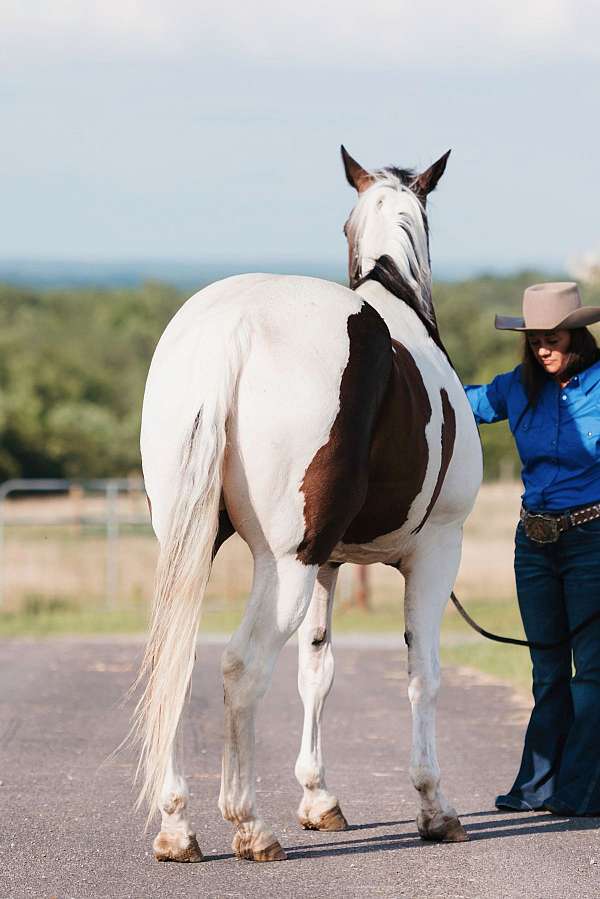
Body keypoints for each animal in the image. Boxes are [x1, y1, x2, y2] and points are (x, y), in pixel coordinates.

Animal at [135, 148, 482, 864]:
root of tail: (233, 329)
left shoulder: (329, 562)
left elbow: (316, 670)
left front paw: (320, 800)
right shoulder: (437, 551)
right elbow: (422, 674)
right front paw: (435, 807)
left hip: (197, 550)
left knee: (174, 661)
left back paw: (178, 828)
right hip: (285, 566)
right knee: (241, 667)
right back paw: (249, 824)